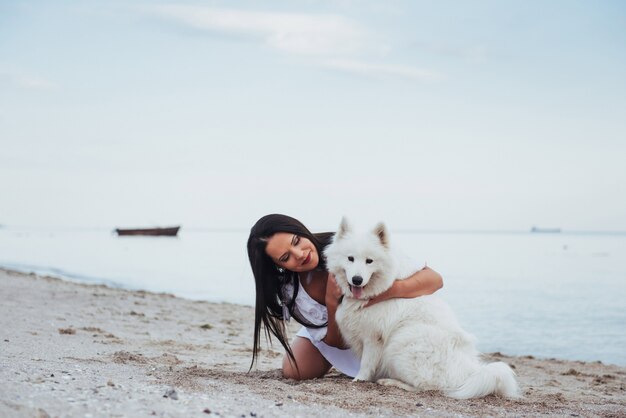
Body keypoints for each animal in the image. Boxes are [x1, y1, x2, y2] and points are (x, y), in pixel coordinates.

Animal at [324, 217, 520, 400]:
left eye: (369, 261)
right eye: (350, 258)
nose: (357, 280)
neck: (377, 291)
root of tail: (470, 373)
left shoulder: (374, 337)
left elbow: (366, 363)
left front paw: (359, 379)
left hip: (400, 343)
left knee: (425, 386)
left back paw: (391, 381)